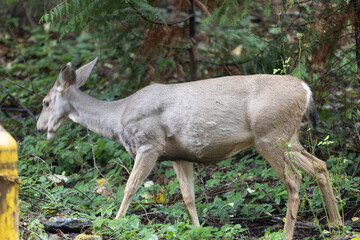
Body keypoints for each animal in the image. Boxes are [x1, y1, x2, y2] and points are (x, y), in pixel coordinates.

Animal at [37, 58, 344, 240]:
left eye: (45, 102)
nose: (40, 128)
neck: (117, 117)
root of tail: (305, 89)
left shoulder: (149, 143)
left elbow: (129, 187)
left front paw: (115, 223)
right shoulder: (178, 154)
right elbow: (188, 196)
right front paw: (198, 230)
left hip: (270, 135)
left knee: (295, 180)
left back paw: (288, 233)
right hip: (290, 137)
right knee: (320, 166)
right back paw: (337, 225)